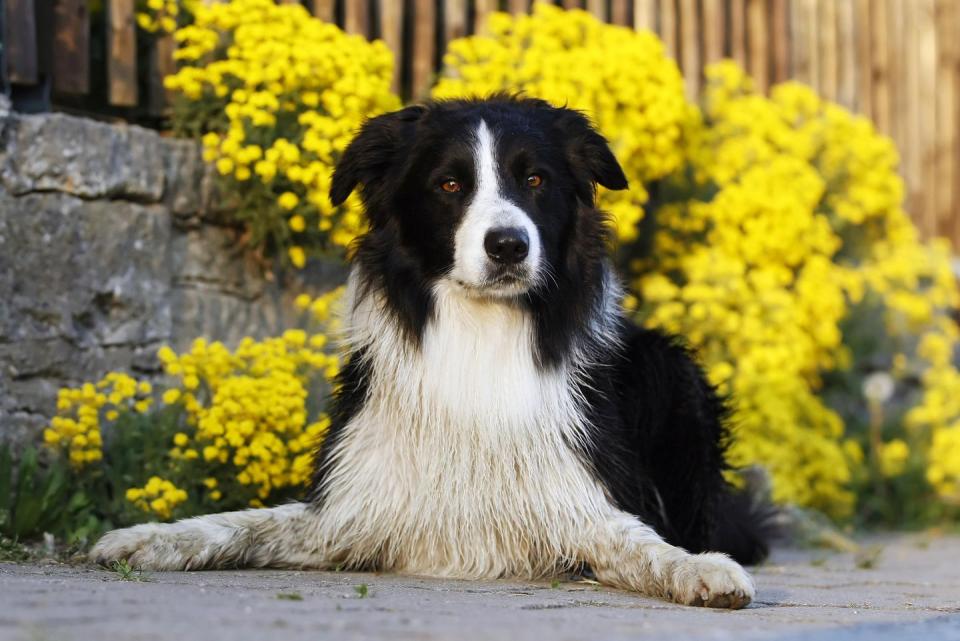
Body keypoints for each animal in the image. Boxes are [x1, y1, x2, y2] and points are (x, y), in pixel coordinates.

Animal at [94, 96, 768, 608]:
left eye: (535, 180)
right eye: (449, 184)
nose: (508, 245)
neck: (480, 329)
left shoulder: (579, 498)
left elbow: (643, 544)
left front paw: (700, 567)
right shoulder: (355, 506)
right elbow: (243, 522)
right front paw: (146, 537)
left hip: (673, 368)